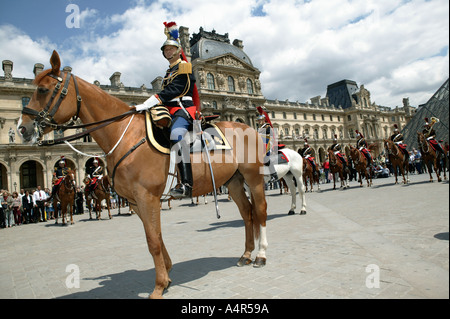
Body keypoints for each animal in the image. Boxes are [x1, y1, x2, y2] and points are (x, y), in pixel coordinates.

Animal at [17, 50, 268, 300]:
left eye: (43, 90)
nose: (22, 128)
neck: (124, 134)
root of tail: (247, 127)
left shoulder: (147, 197)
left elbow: (152, 241)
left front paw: (158, 286)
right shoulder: (136, 201)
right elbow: (156, 236)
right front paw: (166, 276)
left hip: (254, 178)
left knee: (260, 211)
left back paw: (261, 256)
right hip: (233, 181)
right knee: (247, 213)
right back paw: (246, 255)